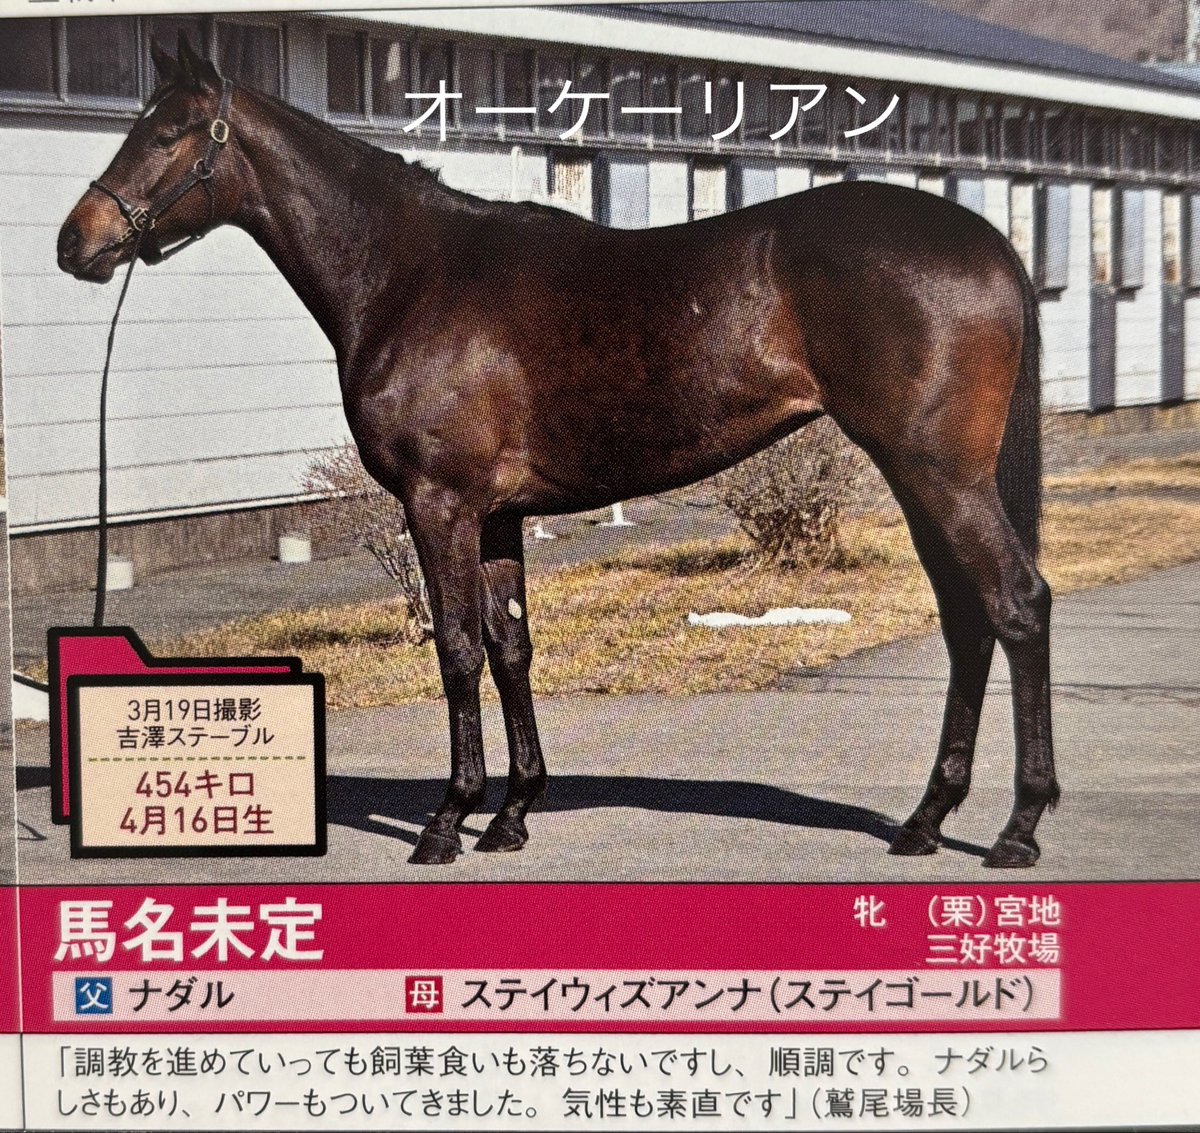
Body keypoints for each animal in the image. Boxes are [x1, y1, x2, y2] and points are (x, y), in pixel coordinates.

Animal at [57, 38, 1057, 868]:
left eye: (170, 132)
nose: (77, 242)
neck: (411, 272)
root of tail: (993, 249)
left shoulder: (440, 502)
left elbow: (458, 648)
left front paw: (446, 820)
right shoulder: (498, 513)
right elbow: (511, 648)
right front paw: (511, 813)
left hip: (938, 473)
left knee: (1016, 605)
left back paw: (1016, 827)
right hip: (920, 478)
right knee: (968, 621)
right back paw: (927, 819)